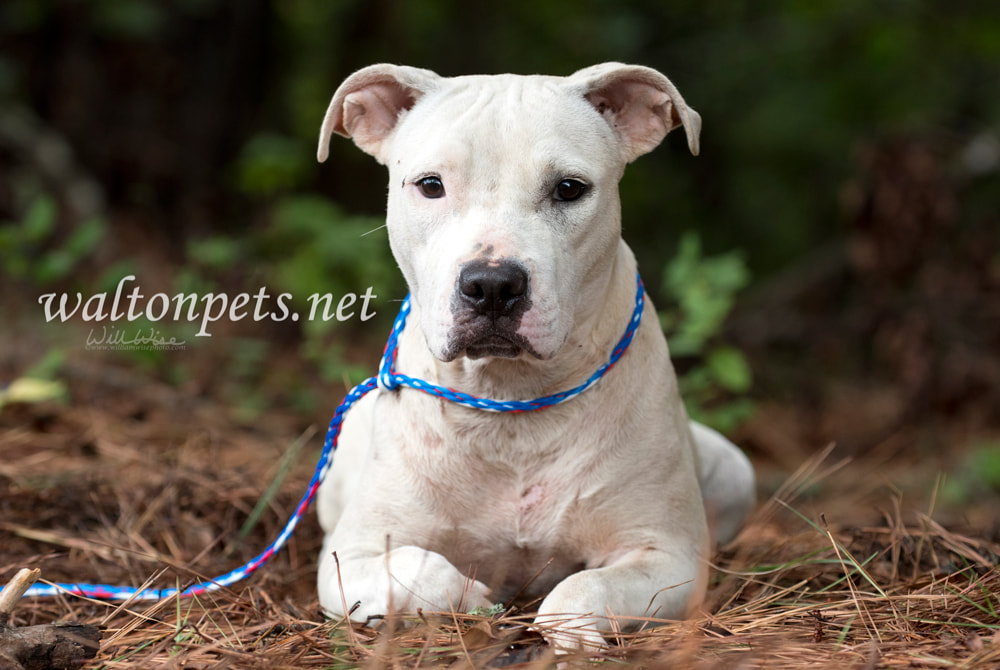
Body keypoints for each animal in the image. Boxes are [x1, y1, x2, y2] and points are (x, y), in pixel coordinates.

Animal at [316, 61, 752, 652]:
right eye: (431, 185)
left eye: (569, 189)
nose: (492, 284)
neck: (511, 398)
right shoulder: (352, 558)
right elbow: (422, 569)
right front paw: (473, 600)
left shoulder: (668, 558)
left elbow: (582, 590)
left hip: (734, 469)